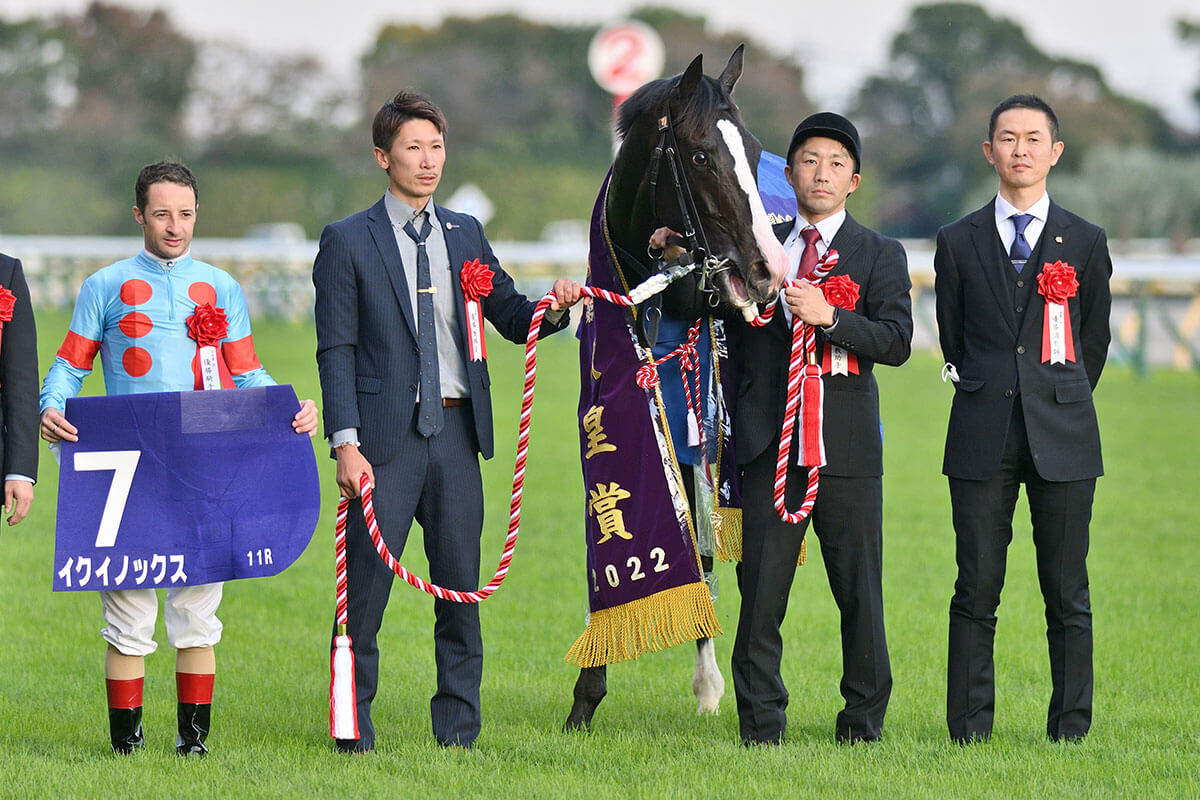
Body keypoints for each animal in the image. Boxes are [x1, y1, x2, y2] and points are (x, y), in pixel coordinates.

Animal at [564, 45, 789, 732]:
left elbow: (704, 535)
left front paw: (714, 681)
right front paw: (587, 691)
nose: (768, 269)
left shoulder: (703, 422)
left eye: (752, 146)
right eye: (700, 155)